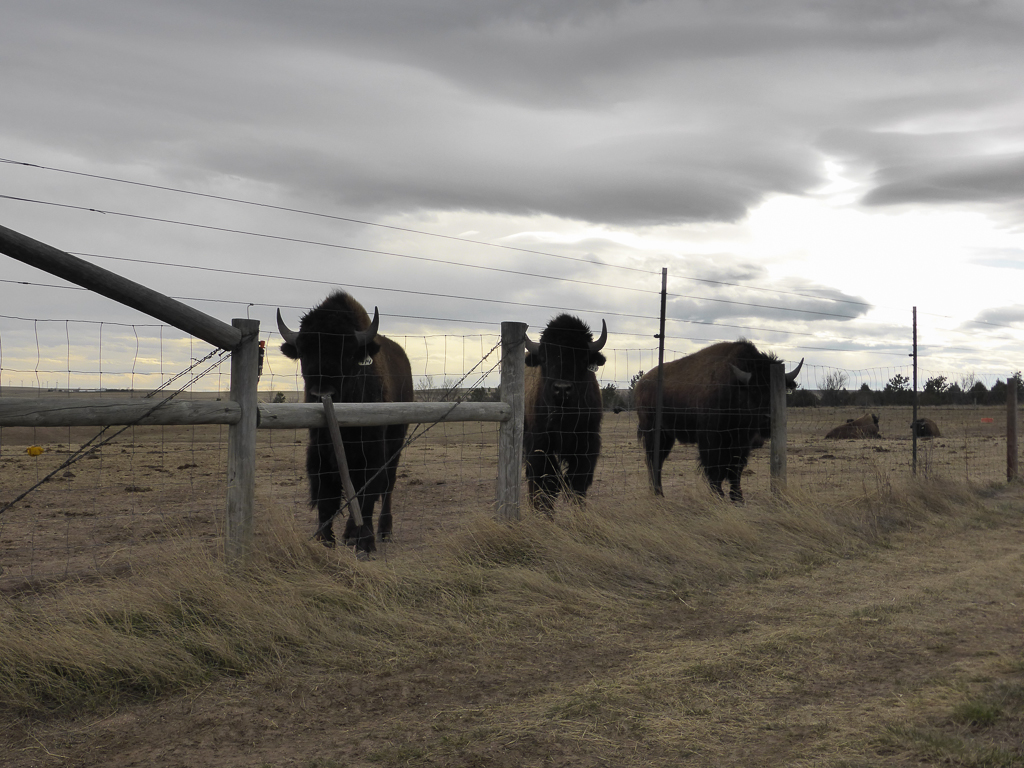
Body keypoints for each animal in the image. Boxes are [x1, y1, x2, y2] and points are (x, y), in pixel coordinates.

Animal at [278, 290, 413, 552]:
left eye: (348, 353)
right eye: (303, 352)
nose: (321, 393)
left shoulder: (372, 452)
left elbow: (367, 491)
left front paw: (366, 543)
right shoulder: (321, 450)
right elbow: (326, 493)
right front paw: (325, 539)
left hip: (396, 442)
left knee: (388, 486)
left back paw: (382, 531)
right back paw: (350, 533)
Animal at [524, 315, 602, 514]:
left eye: (582, 358)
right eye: (545, 359)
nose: (562, 389)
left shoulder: (587, 444)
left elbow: (577, 482)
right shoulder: (541, 445)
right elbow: (548, 483)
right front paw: (546, 514)